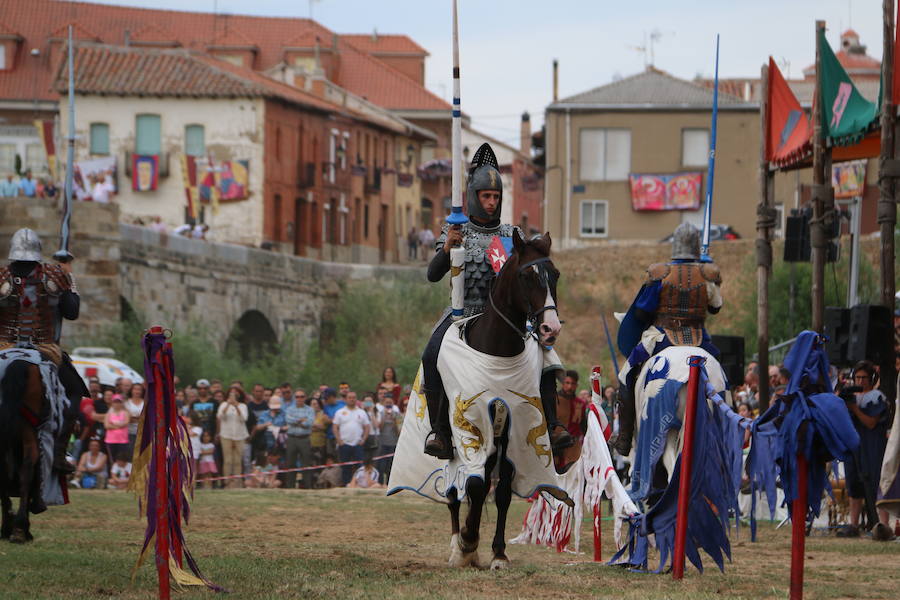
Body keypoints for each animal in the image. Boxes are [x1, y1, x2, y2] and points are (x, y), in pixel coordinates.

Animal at [444, 232, 568, 568]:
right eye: (527, 276)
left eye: (555, 275)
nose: (550, 329)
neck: (497, 349)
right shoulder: (473, 427)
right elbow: (474, 486)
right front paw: (467, 541)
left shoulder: (513, 432)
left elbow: (500, 493)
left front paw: (497, 553)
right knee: (454, 490)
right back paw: (457, 545)